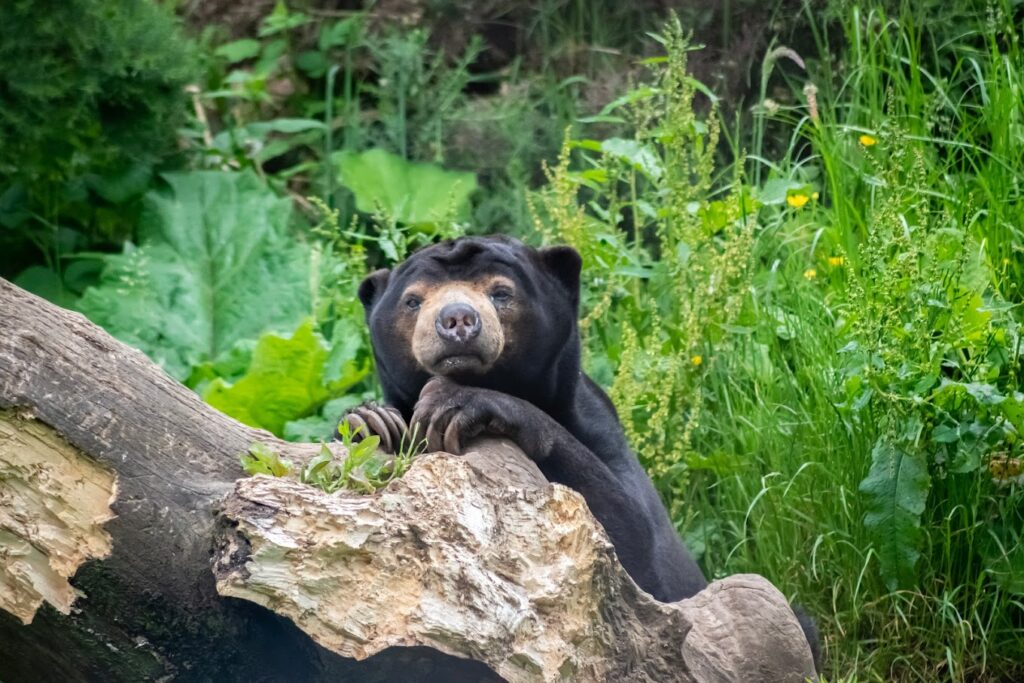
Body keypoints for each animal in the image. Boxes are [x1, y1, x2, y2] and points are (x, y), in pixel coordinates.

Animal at [340, 235, 818, 664]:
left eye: (501, 292)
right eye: (412, 301)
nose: (457, 320)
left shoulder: (600, 430)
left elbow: (628, 534)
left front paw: (454, 402)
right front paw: (373, 420)